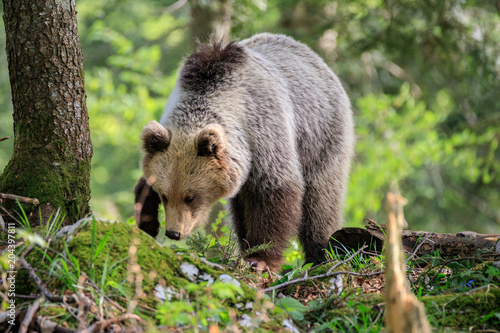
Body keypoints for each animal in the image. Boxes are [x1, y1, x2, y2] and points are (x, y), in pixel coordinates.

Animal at [134, 33, 356, 272]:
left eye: (191, 196)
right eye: (164, 195)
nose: (173, 232)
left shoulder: (264, 131)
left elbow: (275, 191)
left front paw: (260, 258)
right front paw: (147, 222)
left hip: (321, 136)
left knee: (320, 200)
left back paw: (320, 254)